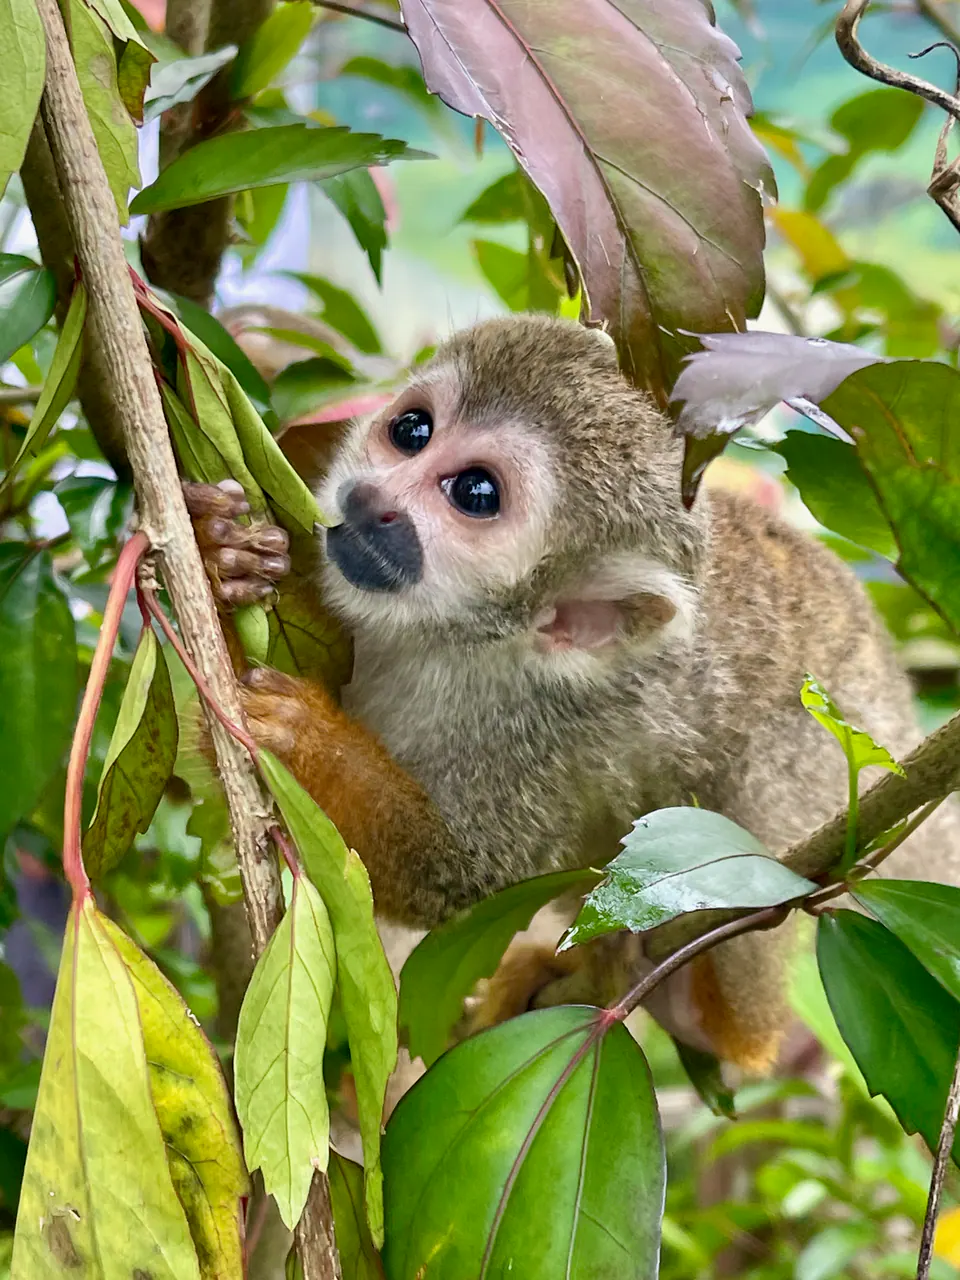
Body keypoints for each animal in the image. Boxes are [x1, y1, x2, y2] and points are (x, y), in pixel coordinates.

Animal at [185, 312, 960, 1074]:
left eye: (475, 494)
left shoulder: (542, 732)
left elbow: (465, 878)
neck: (448, 639)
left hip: (835, 765)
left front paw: (307, 739)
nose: (373, 500)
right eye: (411, 431)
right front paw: (221, 553)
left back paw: (711, 1013)